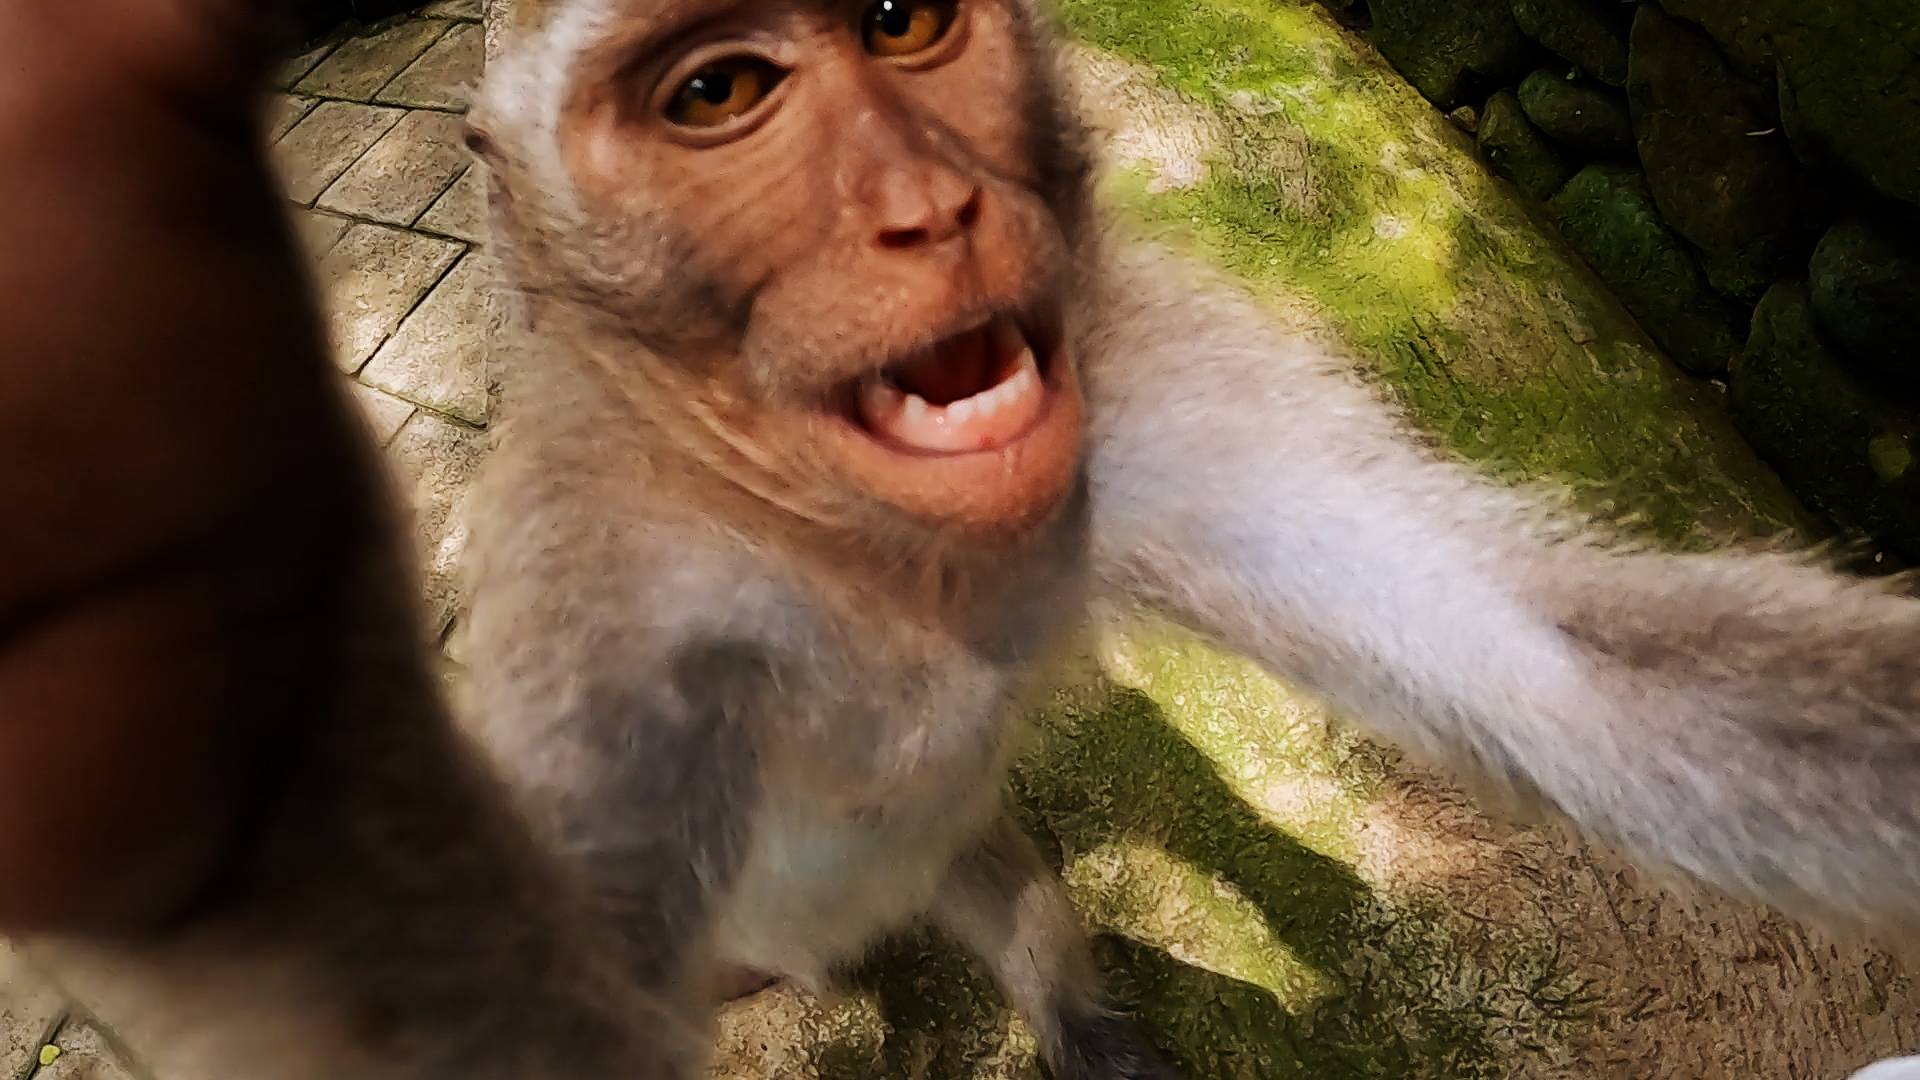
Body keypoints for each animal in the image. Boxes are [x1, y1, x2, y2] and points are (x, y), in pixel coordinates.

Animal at [8, 0, 1920, 1077]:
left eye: (903, 27)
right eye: (717, 98)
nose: (924, 209)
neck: (868, 543)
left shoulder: (1134, 394)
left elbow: (1537, 664)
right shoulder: (622, 599)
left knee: (990, 868)